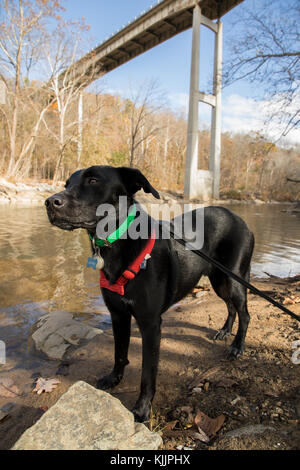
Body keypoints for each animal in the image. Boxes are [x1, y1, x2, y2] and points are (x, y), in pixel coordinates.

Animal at [45, 165, 254, 422]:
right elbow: (119, 353)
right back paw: (225, 331)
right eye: (67, 184)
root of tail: (240, 220)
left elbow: (147, 372)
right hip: (218, 280)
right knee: (231, 307)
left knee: (245, 313)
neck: (119, 245)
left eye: (93, 180)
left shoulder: (151, 323)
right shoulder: (118, 315)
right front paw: (114, 379)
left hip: (232, 279)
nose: (49, 202)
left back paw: (237, 346)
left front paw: (142, 409)